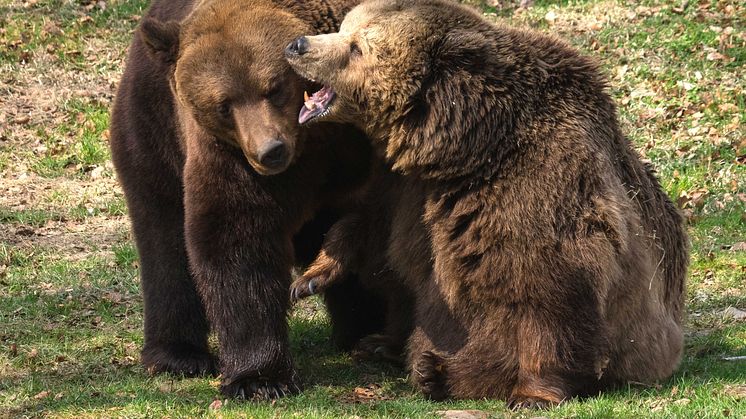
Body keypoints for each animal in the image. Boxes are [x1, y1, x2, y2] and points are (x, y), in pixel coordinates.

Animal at [111, 0, 396, 400]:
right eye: (223, 105)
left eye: (273, 88)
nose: (270, 151)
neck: (312, 143)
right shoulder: (230, 158)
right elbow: (237, 239)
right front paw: (260, 379)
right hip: (153, 137)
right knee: (164, 244)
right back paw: (177, 355)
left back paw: (366, 331)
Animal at [284, 0, 684, 408]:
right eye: (345, 28)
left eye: (357, 47)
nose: (298, 45)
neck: (460, 146)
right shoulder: (401, 185)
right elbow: (371, 228)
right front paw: (311, 276)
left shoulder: (536, 184)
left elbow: (549, 288)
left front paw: (534, 392)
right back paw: (385, 344)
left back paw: (436, 372)